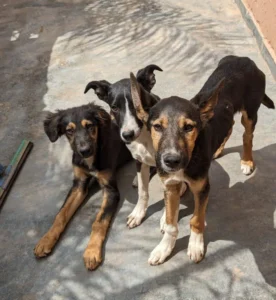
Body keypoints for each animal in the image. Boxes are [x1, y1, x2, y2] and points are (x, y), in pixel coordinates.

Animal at [33, 102, 133, 270]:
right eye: (69, 130)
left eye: (90, 126)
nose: (84, 150)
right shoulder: (79, 184)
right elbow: (61, 214)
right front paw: (46, 240)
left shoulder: (111, 190)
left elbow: (99, 221)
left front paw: (92, 251)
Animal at [83, 65, 164, 227]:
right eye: (114, 107)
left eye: (138, 104)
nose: (127, 135)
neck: (144, 137)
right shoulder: (139, 159)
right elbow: (142, 191)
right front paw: (138, 213)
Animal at [129, 54, 274, 264]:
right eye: (157, 127)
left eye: (189, 127)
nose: (171, 161)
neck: (190, 157)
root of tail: (244, 58)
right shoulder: (171, 185)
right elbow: (172, 223)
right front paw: (164, 248)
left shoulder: (202, 188)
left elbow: (196, 220)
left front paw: (196, 245)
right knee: (230, 124)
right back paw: (218, 149)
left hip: (250, 113)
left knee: (247, 136)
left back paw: (247, 161)